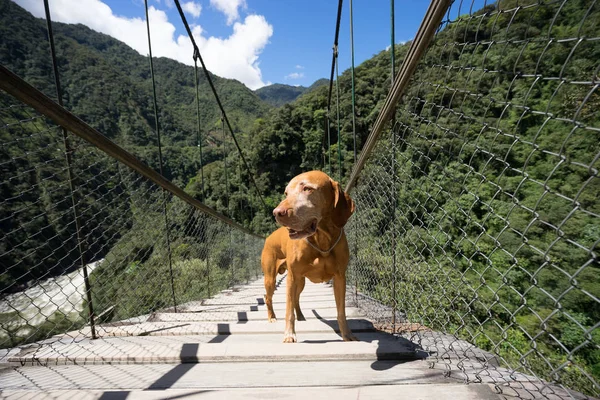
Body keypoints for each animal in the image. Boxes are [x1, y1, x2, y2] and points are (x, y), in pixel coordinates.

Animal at [262, 170, 356, 342]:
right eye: (286, 193)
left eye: (307, 189)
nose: (277, 213)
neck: (322, 240)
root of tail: (268, 237)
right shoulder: (291, 278)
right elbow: (288, 311)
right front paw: (289, 335)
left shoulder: (340, 277)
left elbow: (341, 312)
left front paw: (347, 335)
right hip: (271, 278)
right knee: (268, 297)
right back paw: (272, 317)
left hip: (301, 281)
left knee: (296, 298)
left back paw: (300, 315)